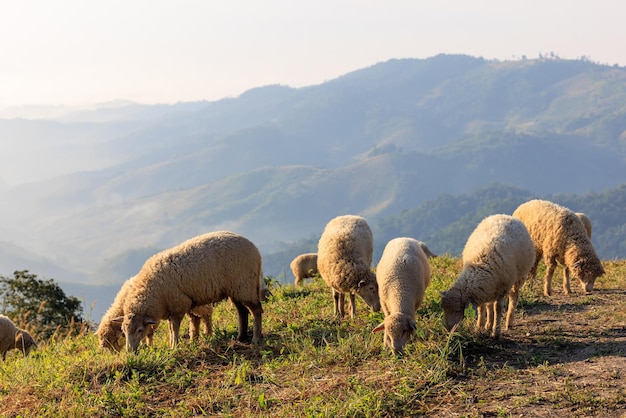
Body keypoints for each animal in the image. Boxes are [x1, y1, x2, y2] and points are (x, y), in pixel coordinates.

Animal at [120, 232, 262, 352]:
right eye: (124, 331)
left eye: (140, 330)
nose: (130, 351)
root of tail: (255, 249)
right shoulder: (174, 307)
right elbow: (173, 327)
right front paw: (175, 344)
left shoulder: (179, 304)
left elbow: (174, 328)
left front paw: (174, 346)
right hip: (236, 289)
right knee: (242, 311)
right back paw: (241, 337)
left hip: (245, 285)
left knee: (256, 310)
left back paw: (256, 339)